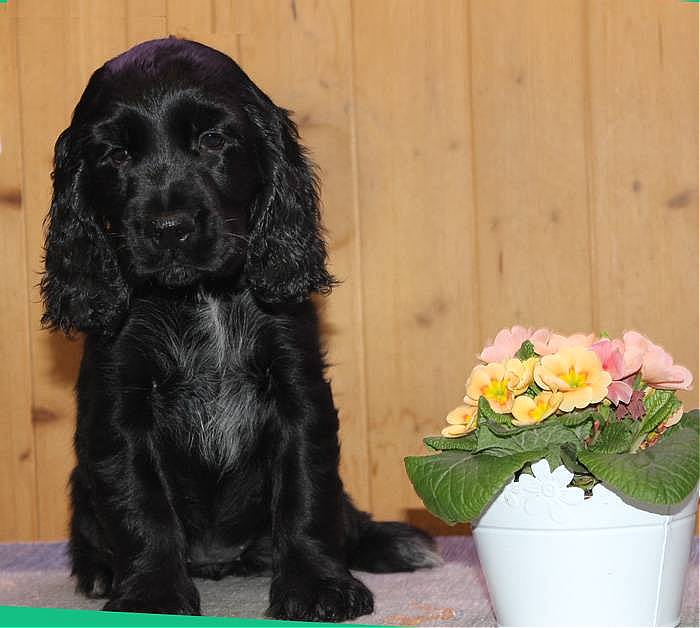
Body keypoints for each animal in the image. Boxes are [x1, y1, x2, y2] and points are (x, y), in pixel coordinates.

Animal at [41, 38, 440, 620]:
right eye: (115, 155)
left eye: (213, 140)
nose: (170, 229)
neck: (199, 297)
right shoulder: (119, 404)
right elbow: (140, 504)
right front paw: (152, 597)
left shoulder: (297, 390)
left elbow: (306, 495)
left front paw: (317, 587)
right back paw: (98, 571)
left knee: (344, 516)